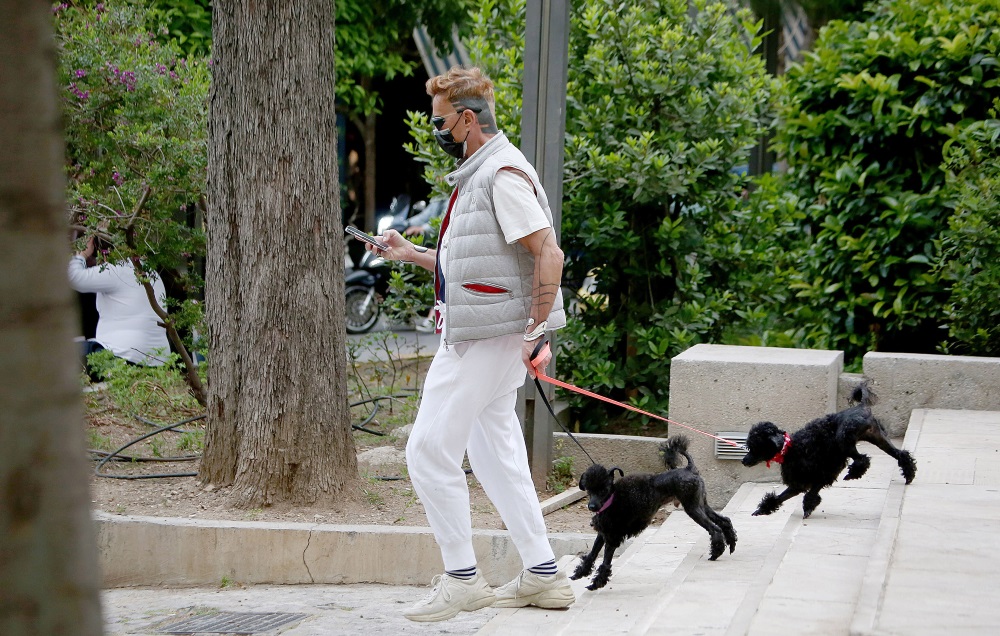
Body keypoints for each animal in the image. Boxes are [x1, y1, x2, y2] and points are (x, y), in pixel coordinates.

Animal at [572, 434, 736, 588]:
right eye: (589, 490)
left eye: (604, 490)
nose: (592, 507)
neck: (612, 499)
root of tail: (690, 469)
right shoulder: (604, 533)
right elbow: (592, 554)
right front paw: (580, 573)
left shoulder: (613, 536)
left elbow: (605, 562)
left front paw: (596, 583)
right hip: (701, 505)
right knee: (724, 521)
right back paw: (731, 545)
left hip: (693, 508)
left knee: (715, 529)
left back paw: (716, 553)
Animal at [740, 380, 916, 520]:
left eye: (756, 447)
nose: (744, 461)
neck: (789, 449)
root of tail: (862, 407)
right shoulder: (800, 483)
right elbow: (779, 498)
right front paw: (762, 510)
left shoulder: (820, 474)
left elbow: (810, 494)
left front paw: (808, 508)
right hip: (879, 439)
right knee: (901, 455)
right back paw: (909, 475)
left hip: (845, 440)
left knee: (862, 459)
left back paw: (853, 474)